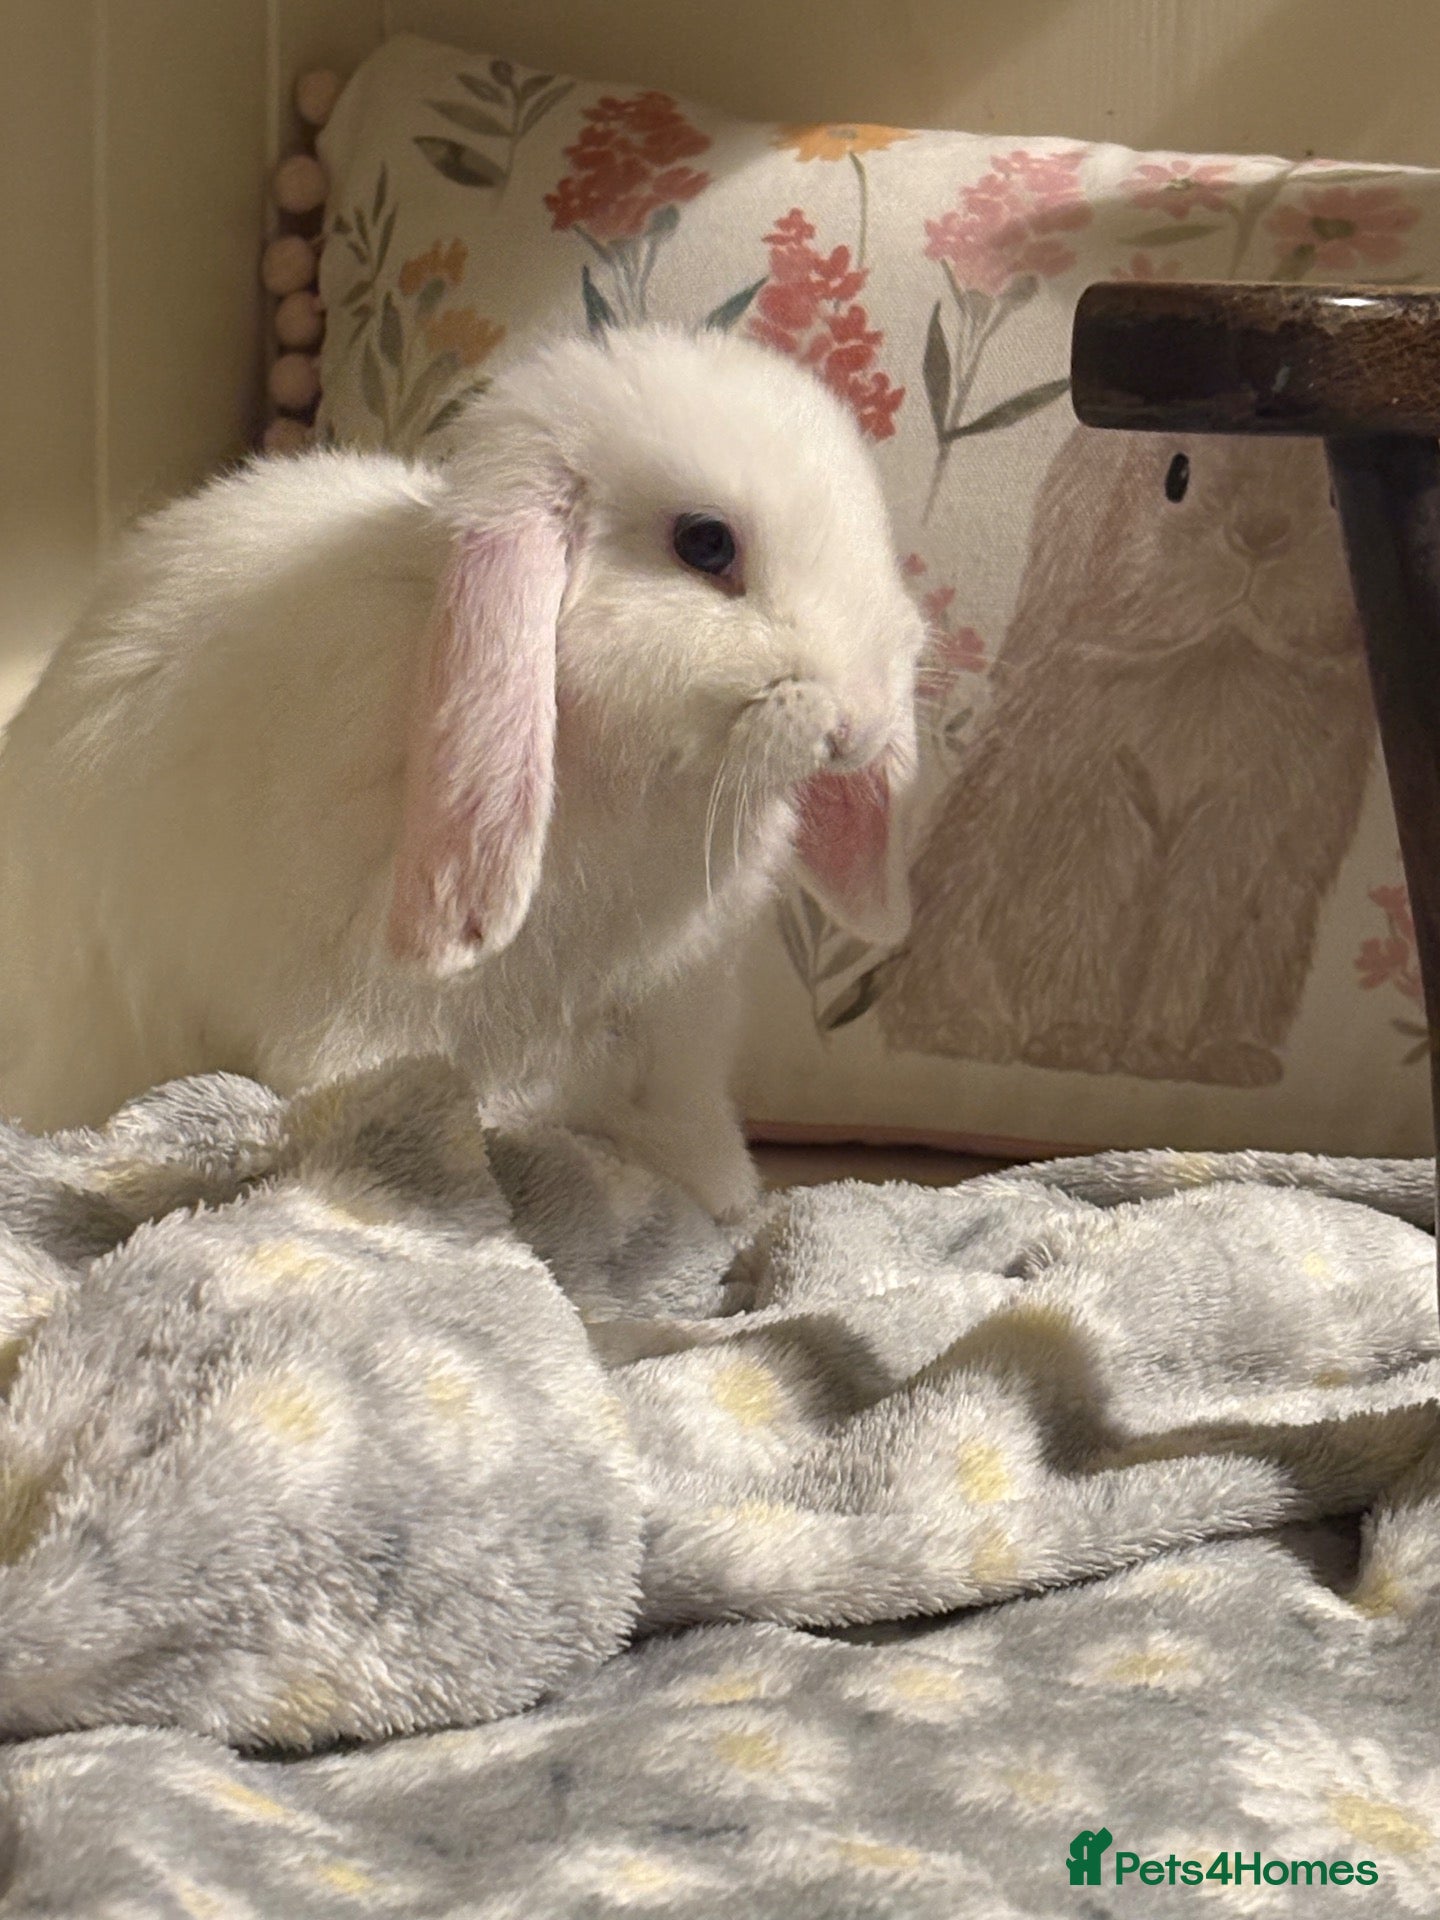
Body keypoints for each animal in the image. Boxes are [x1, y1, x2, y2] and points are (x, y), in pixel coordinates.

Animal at [0, 326, 923, 1219]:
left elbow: (686, 1124)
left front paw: (725, 1203)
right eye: (706, 543)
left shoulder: (676, 1018)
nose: (861, 724)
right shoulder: (363, 1014)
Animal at [882, 425, 1373, 1086]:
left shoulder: (1243, 828)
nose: (1261, 534)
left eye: (1335, 491)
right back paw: (971, 1033)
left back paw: (1236, 1060)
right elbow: (1085, 917)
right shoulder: (1093, 802)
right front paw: (1075, 1043)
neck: (1220, 657)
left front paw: (1160, 1052)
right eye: (1176, 476)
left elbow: (1191, 939)